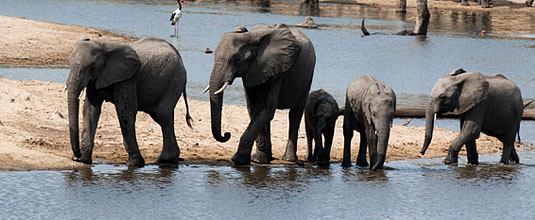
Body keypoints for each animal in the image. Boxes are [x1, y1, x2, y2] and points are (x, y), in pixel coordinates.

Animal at [65, 36, 191, 167]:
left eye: (92, 67)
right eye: (69, 63)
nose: (76, 156)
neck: (102, 45)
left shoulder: (127, 79)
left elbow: (125, 111)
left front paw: (134, 163)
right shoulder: (95, 79)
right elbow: (91, 109)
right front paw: (84, 160)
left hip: (175, 80)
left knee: (163, 114)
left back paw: (165, 160)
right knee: (159, 116)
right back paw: (172, 159)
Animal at [207, 24, 316, 165]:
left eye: (236, 59)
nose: (227, 134)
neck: (250, 37)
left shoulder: (276, 71)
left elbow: (265, 110)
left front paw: (238, 160)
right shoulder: (251, 71)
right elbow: (254, 109)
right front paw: (258, 160)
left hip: (308, 77)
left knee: (295, 114)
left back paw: (289, 159)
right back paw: (270, 157)